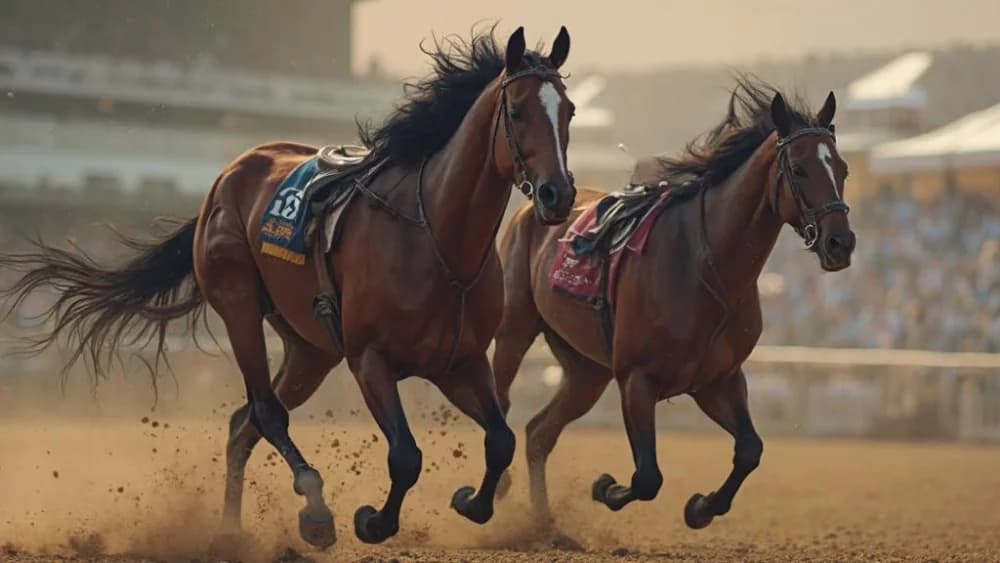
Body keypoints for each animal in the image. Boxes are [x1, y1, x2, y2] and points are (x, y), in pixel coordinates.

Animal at [0, 26, 577, 547]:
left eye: (568, 111)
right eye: (518, 110)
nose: (558, 194)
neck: (436, 239)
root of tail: (228, 176)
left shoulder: (460, 362)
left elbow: (500, 439)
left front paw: (471, 501)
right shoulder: (369, 358)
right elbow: (405, 456)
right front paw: (372, 521)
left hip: (310, 350)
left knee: (243, 425)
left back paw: (231, 531)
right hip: (238, 306)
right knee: (264, 411)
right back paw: (314, 509)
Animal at [491, 78, 856, 533]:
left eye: (842, 168)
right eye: (801, 169)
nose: (840, 243)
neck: (703, 265)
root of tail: (532, 204)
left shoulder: (717, 379)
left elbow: (749, 449)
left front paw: (700, 507)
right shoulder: (636, 379)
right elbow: (647, 477)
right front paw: (605, 486)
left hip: (586, 370)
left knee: (540, 433)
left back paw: (545, 526)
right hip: (515, 329)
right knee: (503, 401)